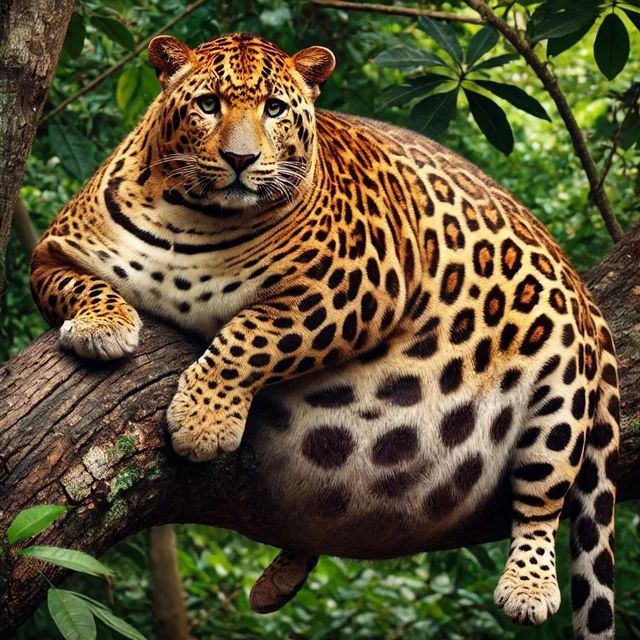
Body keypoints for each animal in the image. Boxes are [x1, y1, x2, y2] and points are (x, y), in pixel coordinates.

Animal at [30, 32, 620, 638]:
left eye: (274, 109)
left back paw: (529, 586)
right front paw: (103, 326)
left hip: (561, 394)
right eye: (208, 105)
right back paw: (278, 580)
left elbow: (252, 335)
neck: (192, 215)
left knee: (544, 498)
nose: (240, 160)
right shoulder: (52, 252)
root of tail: (573, 275)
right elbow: (82, 284)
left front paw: (203, 421)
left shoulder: (352, 285)